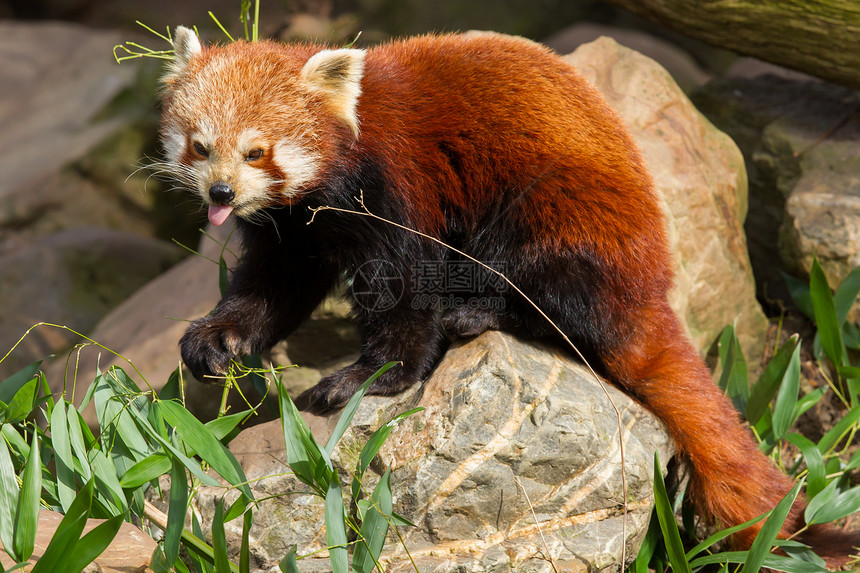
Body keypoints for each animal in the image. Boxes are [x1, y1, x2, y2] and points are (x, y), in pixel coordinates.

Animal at [161, 25, 860, 564]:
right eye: (201, 146)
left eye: (257, 151)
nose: (221, 192)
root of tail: (651, 284)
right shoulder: (296, 232)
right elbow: (273, 287)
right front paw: (217, 339)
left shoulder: (397, 188)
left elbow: (406, 290)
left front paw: (371, 375)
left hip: (562, 211)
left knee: (549, 290)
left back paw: (479, 312)